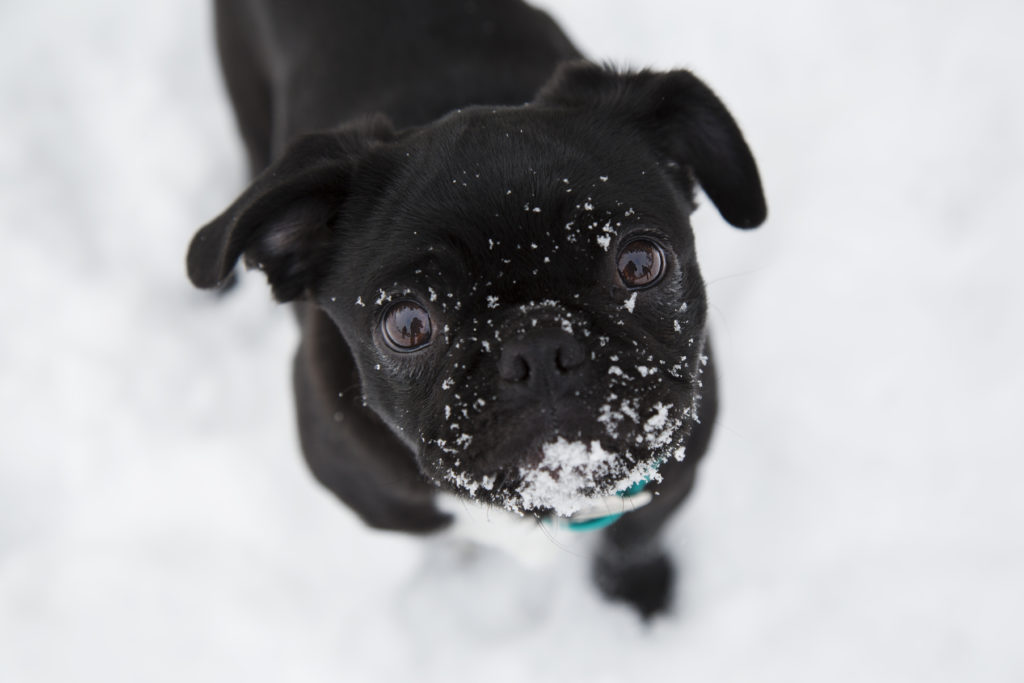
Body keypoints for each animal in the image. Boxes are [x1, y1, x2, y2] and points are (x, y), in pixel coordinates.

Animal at [186, 0, 761, 618]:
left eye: (639, 263)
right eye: (407, 324)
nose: (541, 345)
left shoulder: (676, 470)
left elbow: (637, 533)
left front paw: (636, 593)